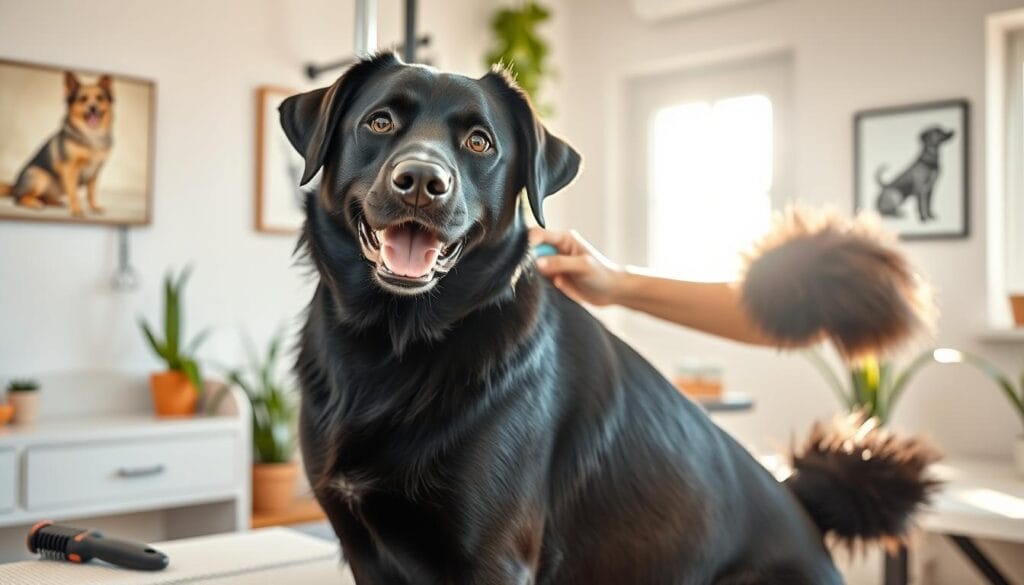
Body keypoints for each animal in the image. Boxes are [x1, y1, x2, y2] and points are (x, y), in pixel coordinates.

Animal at [284, 51, 933, 585]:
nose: (422, 181)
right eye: (379, 123)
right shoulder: (365, 551)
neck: (392, 342)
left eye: (479, 142)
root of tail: (805, 514)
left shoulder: (493, 559)